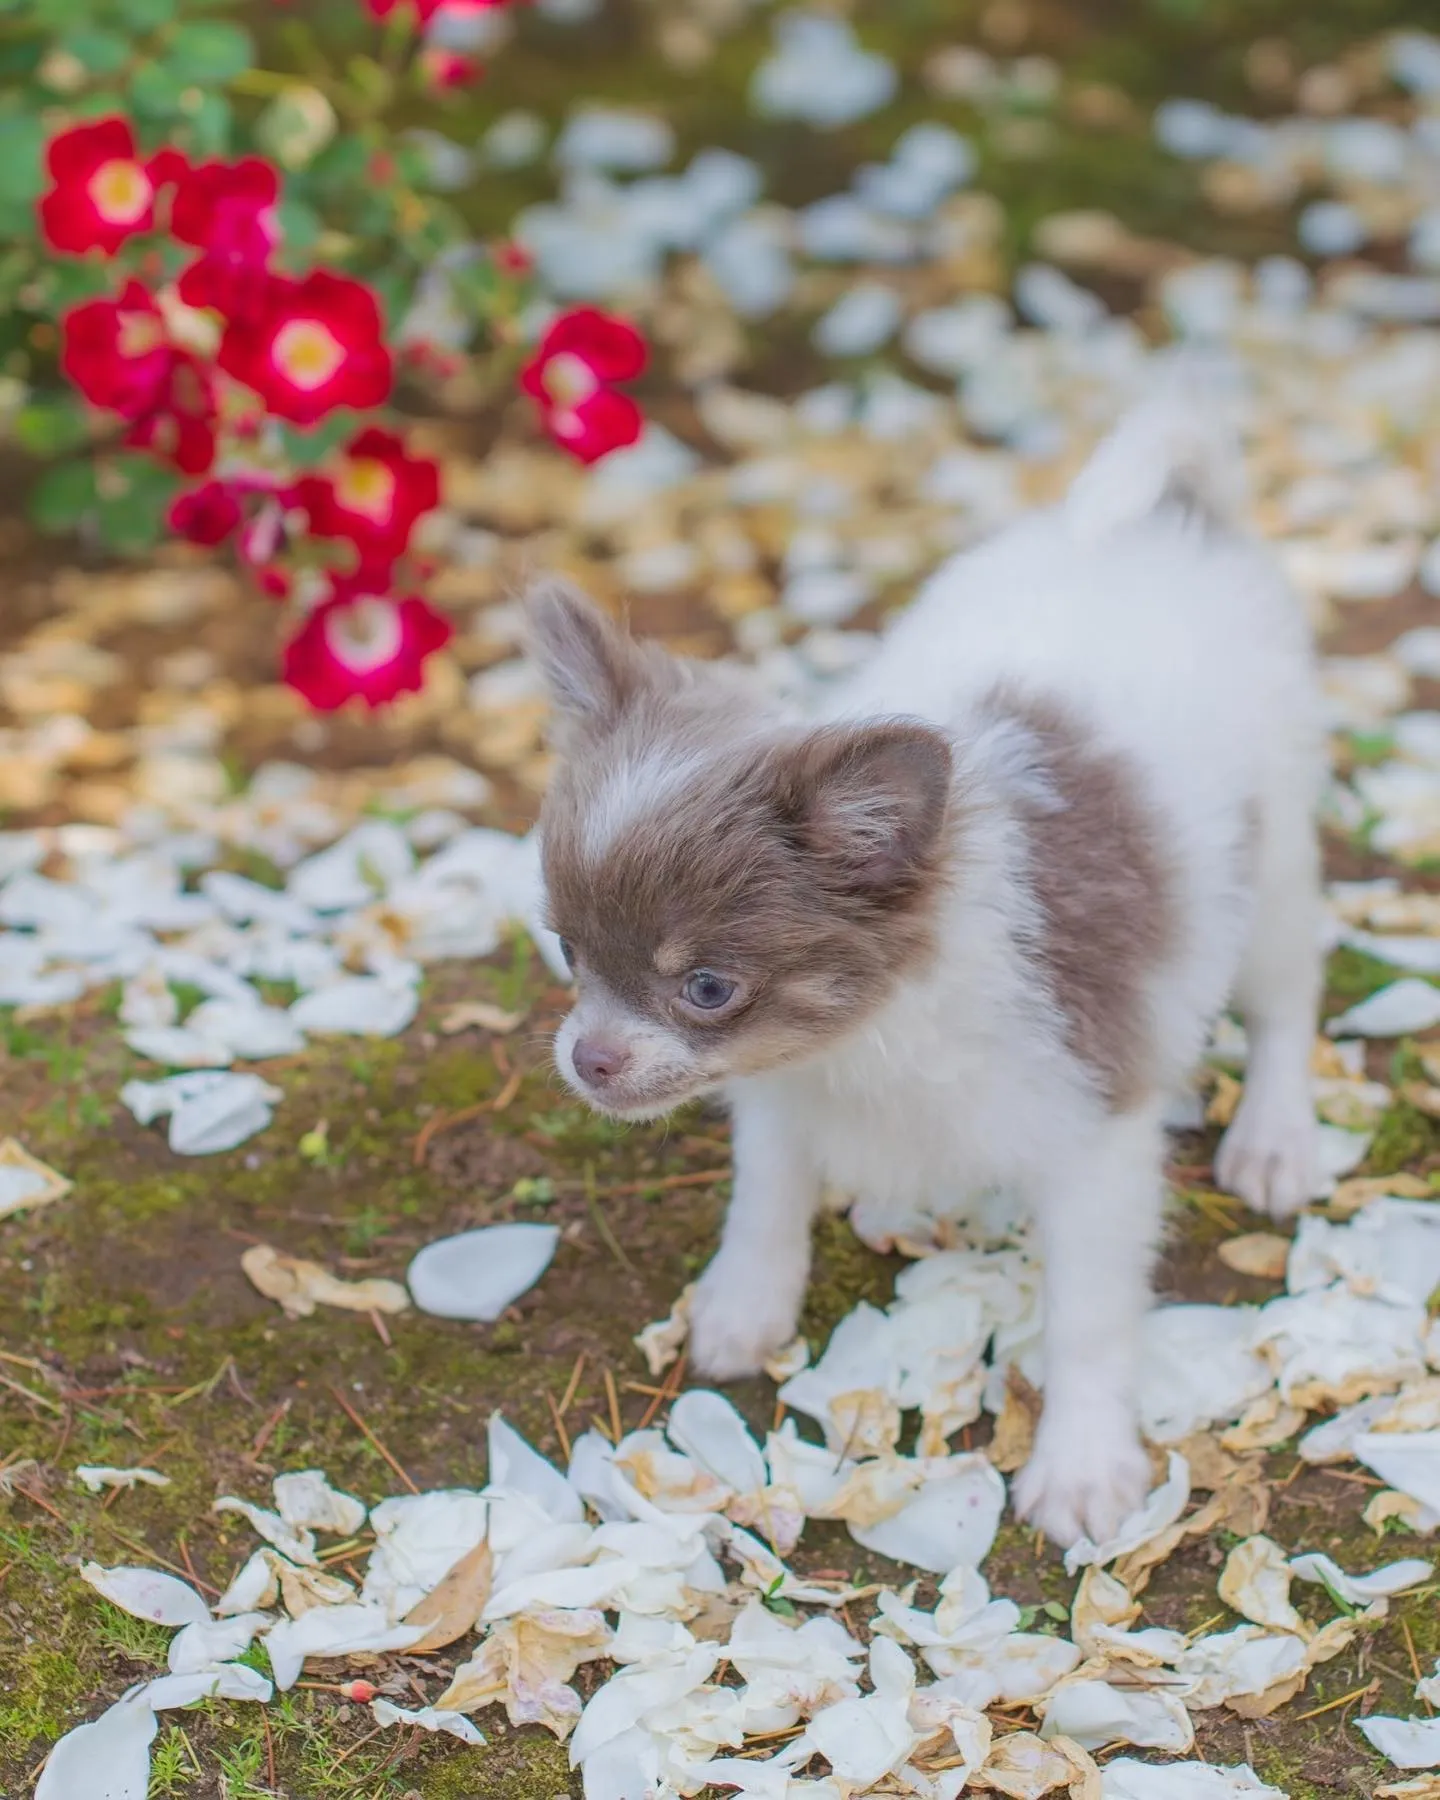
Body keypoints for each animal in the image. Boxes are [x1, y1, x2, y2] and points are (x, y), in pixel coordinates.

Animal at [522, 394, 1324, 1548]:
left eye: (707, 986)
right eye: (569, 951)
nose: (588, 1058)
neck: (868, 1035)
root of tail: (1172, 526)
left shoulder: (1097, 1136)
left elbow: (1087, 1319)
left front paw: (1083, 1465)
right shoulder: (777, 1092)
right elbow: (765, 1197)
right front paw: (744, 1307)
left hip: (1271, 870)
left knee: (1289, 993)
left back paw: (1276, 1134)